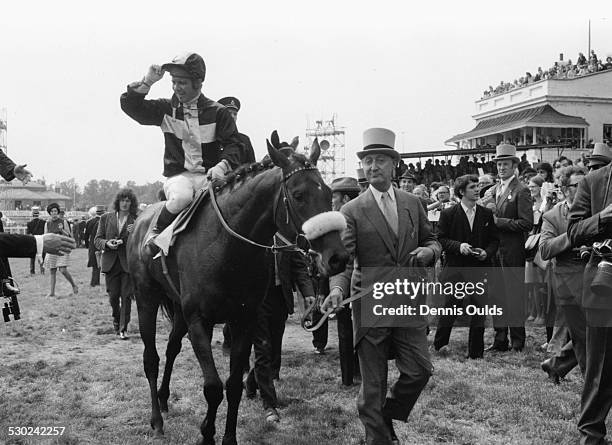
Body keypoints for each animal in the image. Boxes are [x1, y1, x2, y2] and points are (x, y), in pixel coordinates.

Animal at [128, 132, 350, 444]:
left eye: (329, 192)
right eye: (298, 195)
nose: (337, 257)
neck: (227, 248)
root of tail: (140, 221)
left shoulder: (244, 319)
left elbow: (232, 385)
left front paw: (226, 436)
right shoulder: (200, 320)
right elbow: (212, 386)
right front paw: (206, 434)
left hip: (180, 311)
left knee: (171, 349)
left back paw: (163, 398)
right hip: (146, 299)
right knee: (151, 358)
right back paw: (156, 420)